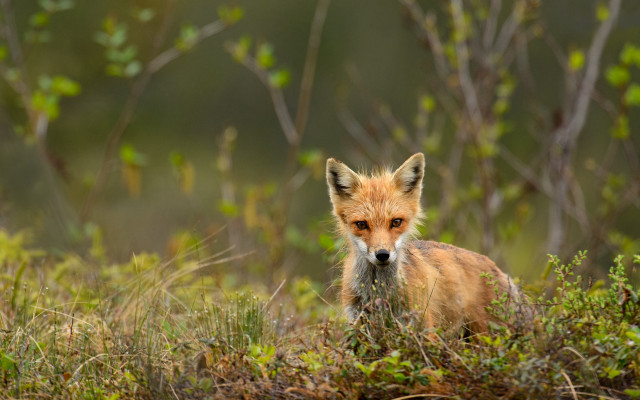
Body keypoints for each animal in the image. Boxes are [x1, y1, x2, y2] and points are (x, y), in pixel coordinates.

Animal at [326, 152, 523, 334]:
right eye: (361, 224)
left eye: (396, 222)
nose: (382, 254)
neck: (379, 293)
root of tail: (497, 269)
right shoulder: (358, 322)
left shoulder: (422, 328)